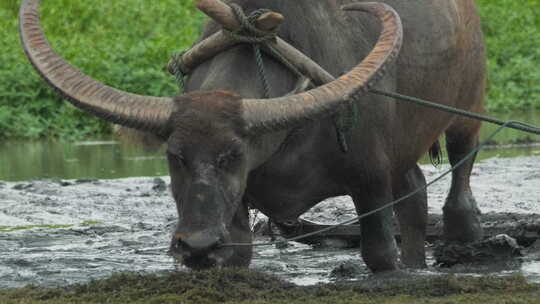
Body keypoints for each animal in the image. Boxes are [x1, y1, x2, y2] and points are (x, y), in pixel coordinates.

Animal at [20, 0, 486, 270]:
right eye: (175, 156)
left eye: (233, 154)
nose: (196, 246)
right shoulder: (236, 212)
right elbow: (238, 254)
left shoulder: (369, 180)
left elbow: (379, 253)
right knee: (415, 190)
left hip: (470, 106)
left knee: (460, 169)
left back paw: (465, 231)